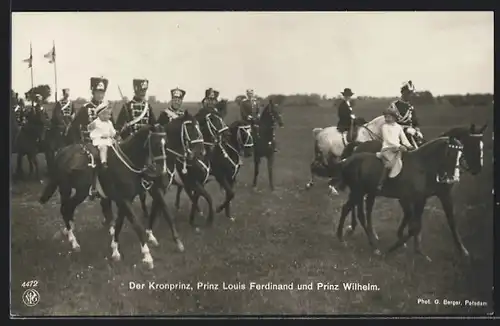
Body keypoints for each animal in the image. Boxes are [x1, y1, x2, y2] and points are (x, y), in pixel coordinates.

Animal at [39, 123, 180, 268]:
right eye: (157, 144)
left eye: (166, 144)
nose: (163, 172)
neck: (127, 163)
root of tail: (62, 152)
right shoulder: (124, 199)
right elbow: (136, 225)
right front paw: (147, 256)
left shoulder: (125, 199)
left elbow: (119, 223)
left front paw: (115, 250)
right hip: (66, 189)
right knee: (64, 209)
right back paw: (73, 241)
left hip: (80, 192)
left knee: (69, 208)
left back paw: (70, 232)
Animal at [336, 123, 484, 256]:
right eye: (471, 145)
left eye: (481, 146)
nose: (477, 169)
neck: (423, 165)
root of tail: (350, 158)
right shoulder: (414, 198)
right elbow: (414, 224)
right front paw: (397, 247)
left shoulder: (432, 197)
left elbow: (437, 221)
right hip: (359, 191)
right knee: (353, 210)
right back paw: (355, 238)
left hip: (365, 191)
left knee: (357, 209)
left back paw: (363, 237)